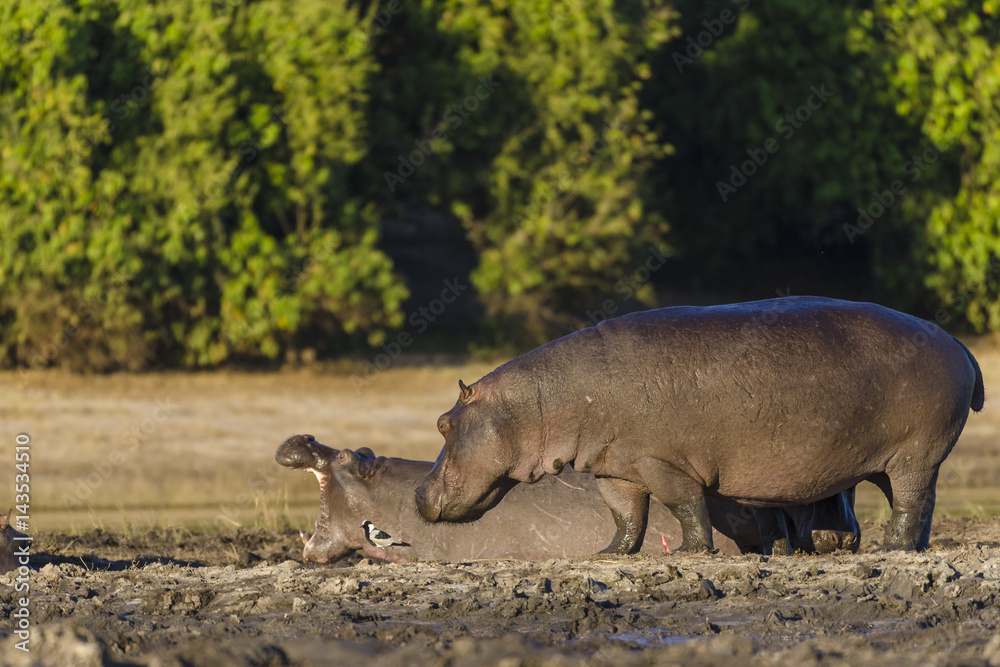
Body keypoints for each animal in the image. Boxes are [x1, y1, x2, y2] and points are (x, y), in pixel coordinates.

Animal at [416, 298, 984, 552]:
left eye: (443, 423)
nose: (418, 492)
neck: (543, 401)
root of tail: (958, 344)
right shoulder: (616, 466)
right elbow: (626, 516)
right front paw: (609, 555)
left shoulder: (660, 461)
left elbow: (684, 505)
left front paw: (694, 552)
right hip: (902, 459)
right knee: (921, 504)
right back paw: (911, 547)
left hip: (914, 454)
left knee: (910, 500)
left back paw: (893, 548)